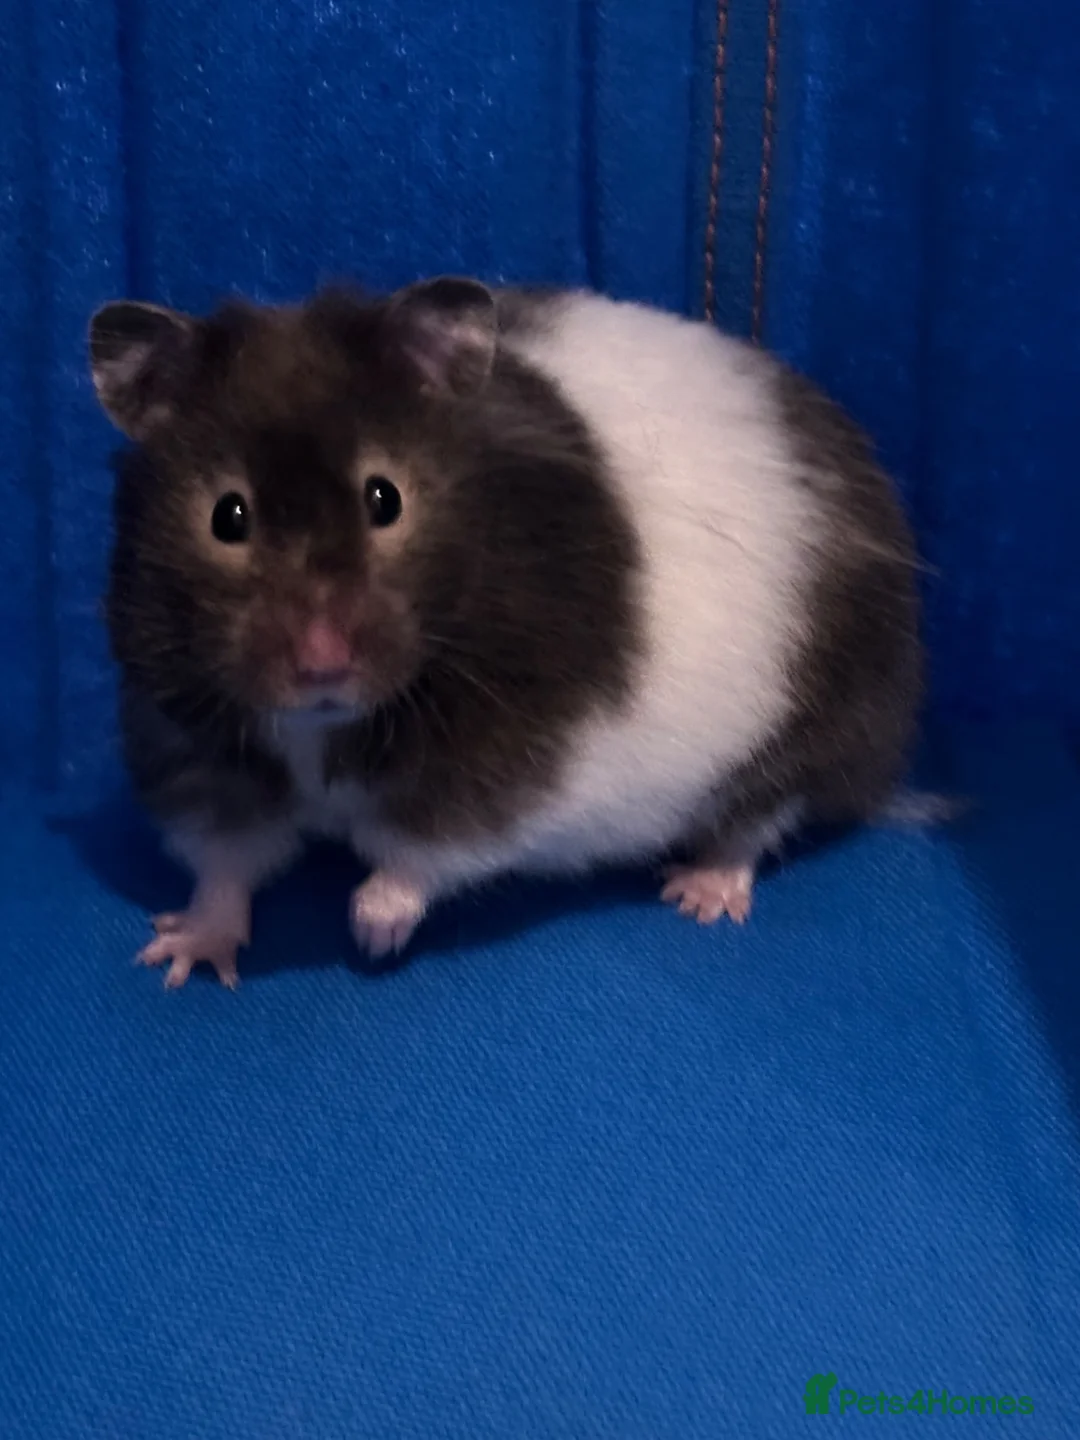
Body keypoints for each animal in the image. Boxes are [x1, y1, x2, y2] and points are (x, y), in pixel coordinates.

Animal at [88, 278, 921, 988]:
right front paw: (181, 956)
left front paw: (370, 932)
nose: (323, 664)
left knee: (759, 820)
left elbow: (424, 855)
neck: (320, 729)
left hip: (820, 717)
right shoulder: (186, 735)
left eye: (385, 498)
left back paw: (698, 894)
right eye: (227, 516)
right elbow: (225, 863)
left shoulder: (512, 763)